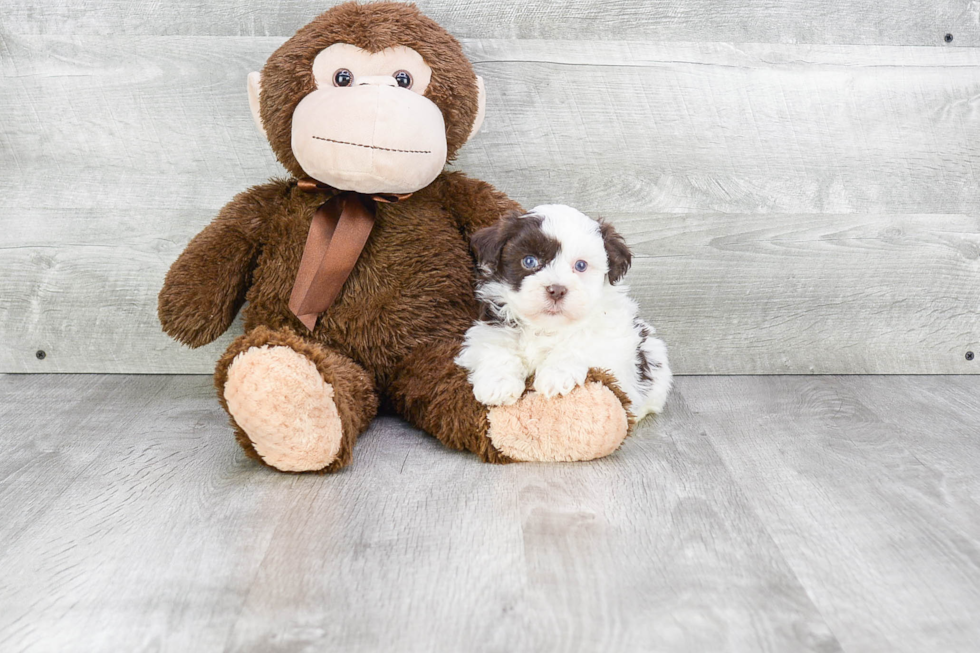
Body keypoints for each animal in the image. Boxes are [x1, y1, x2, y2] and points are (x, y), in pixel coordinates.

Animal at [454, 202, 668, 418]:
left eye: (581, 265)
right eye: (529, 261)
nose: (556, 290)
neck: (547, 327)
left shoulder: (613, 342)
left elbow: (582, 344)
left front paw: (555, 375)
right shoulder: (490, 328)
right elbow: (495, 348)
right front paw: (498, 384)